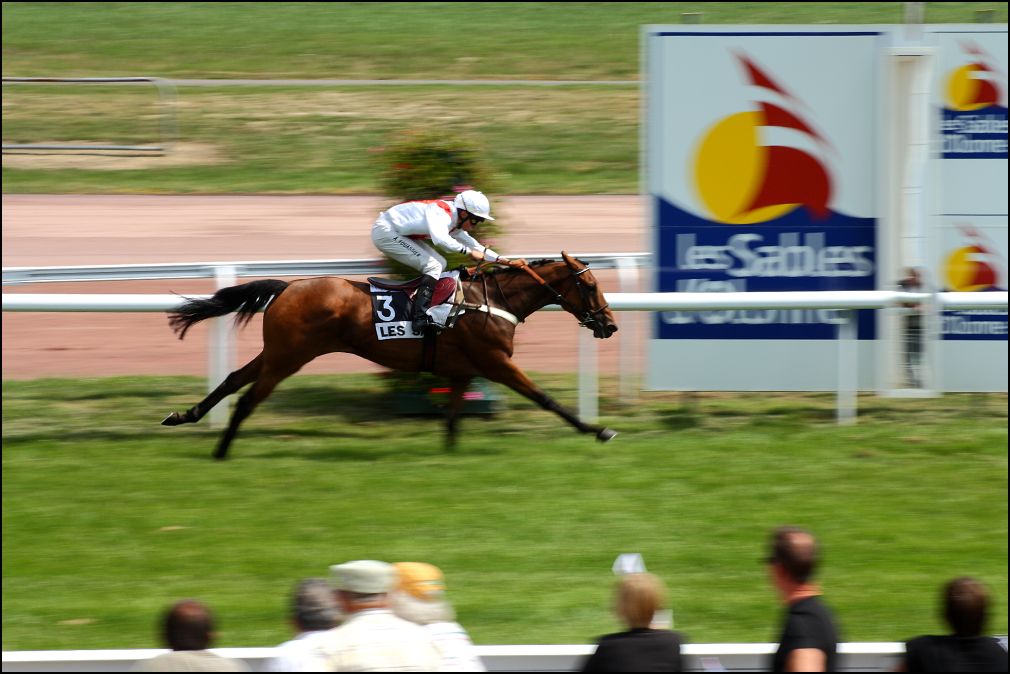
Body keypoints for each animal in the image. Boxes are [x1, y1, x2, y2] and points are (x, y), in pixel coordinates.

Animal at [162, 250, 618, 460]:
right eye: (590, 285)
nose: (609, 325)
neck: (491, 301)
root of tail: (287, 286)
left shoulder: (464, 370)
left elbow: (452, 417)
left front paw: (449, 453)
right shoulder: (497, 363)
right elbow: (546, 399)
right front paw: (598, 430)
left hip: (277, 352)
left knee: (232, 380)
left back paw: (185, 416)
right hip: (288, 358)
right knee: (247, 397)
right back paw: (221, 450)